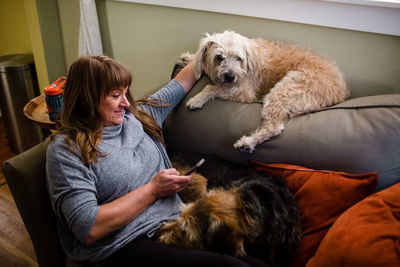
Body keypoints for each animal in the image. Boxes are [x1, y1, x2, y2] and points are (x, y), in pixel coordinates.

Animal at [186, 30, 348, 153]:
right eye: (219, 57)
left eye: (238, 58)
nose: (230, 76)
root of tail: (340, 92)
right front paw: (188, 57)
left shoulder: (244, 91)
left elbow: (211, 88)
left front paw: (197, 99)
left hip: (281, 92)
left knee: (274, 128)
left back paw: (247, 142)